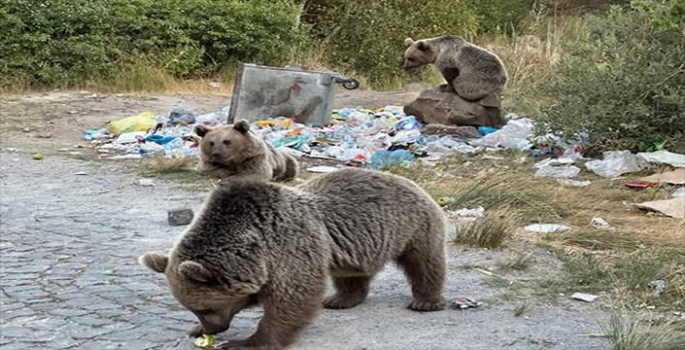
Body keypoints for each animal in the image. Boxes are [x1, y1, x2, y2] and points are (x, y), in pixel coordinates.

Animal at [140, 168, 448, 348]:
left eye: (205, 307)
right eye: (193, 308)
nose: (211, 327)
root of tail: (408, 180)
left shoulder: (289, 247)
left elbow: (292, 299)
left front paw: (248, 341)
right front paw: (195, 331)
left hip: (413, 225)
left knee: (425, 262)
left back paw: (425, 301)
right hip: (354, 248)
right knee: (351, 274)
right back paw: (340, 299)